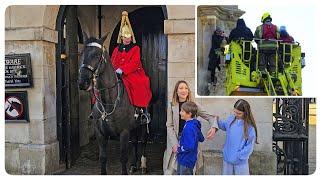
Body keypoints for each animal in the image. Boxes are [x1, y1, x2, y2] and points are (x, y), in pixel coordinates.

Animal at [79, 32, 151, 174]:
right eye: (82, 53)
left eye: (97, 55)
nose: (83, 82)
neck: (108, 101)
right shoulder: (100, 133)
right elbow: (102, 157)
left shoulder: (124, 132)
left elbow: (123, 157)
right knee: (135, 141)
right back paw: (134, 164)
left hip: (142, 124)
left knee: (143, 141)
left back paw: (143, 165)